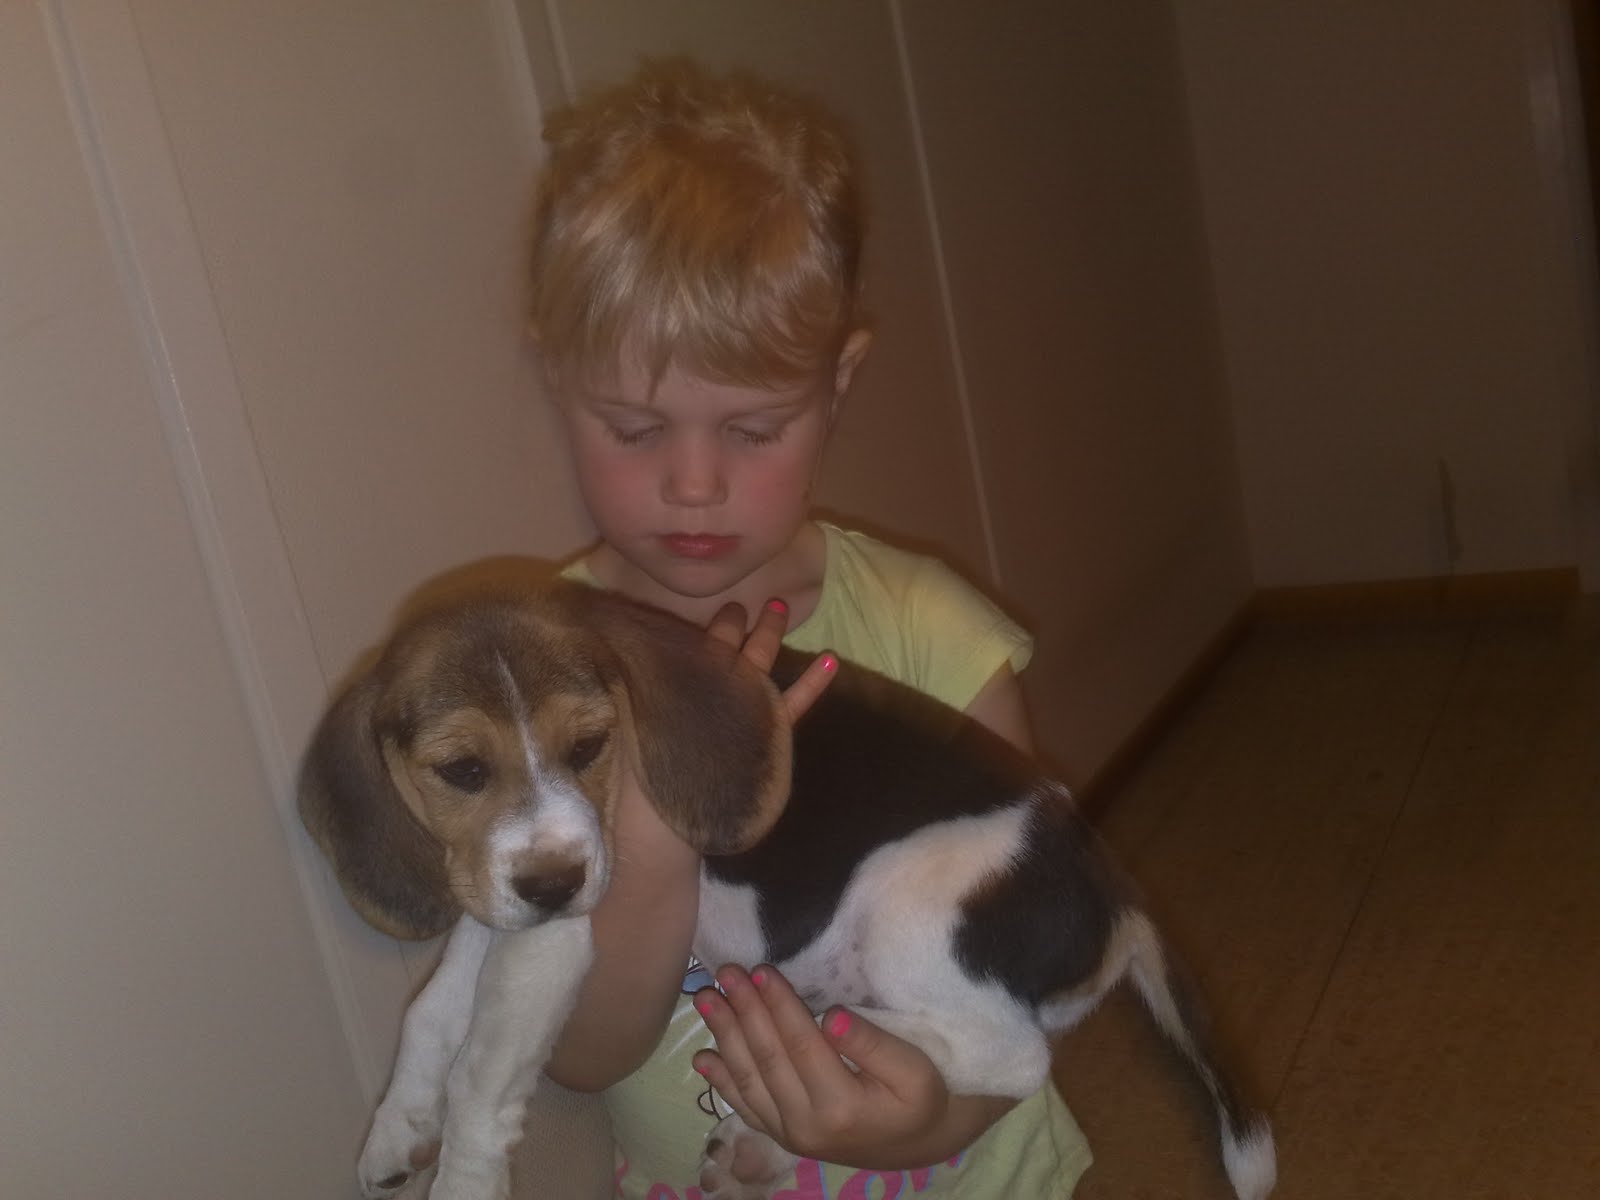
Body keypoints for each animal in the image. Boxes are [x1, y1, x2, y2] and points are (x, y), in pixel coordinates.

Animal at [299, 580, 1276, 1200]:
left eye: (588, 747)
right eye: (462, 771)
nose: (555, 881)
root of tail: (1115, 885)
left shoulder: (562, 921)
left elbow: (479, 1074)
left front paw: (460, 1178)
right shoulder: (499, 900)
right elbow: (432, 1013)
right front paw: (396, 1130)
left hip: (910, 905)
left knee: (1010, 1056)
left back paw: (816, 1048)